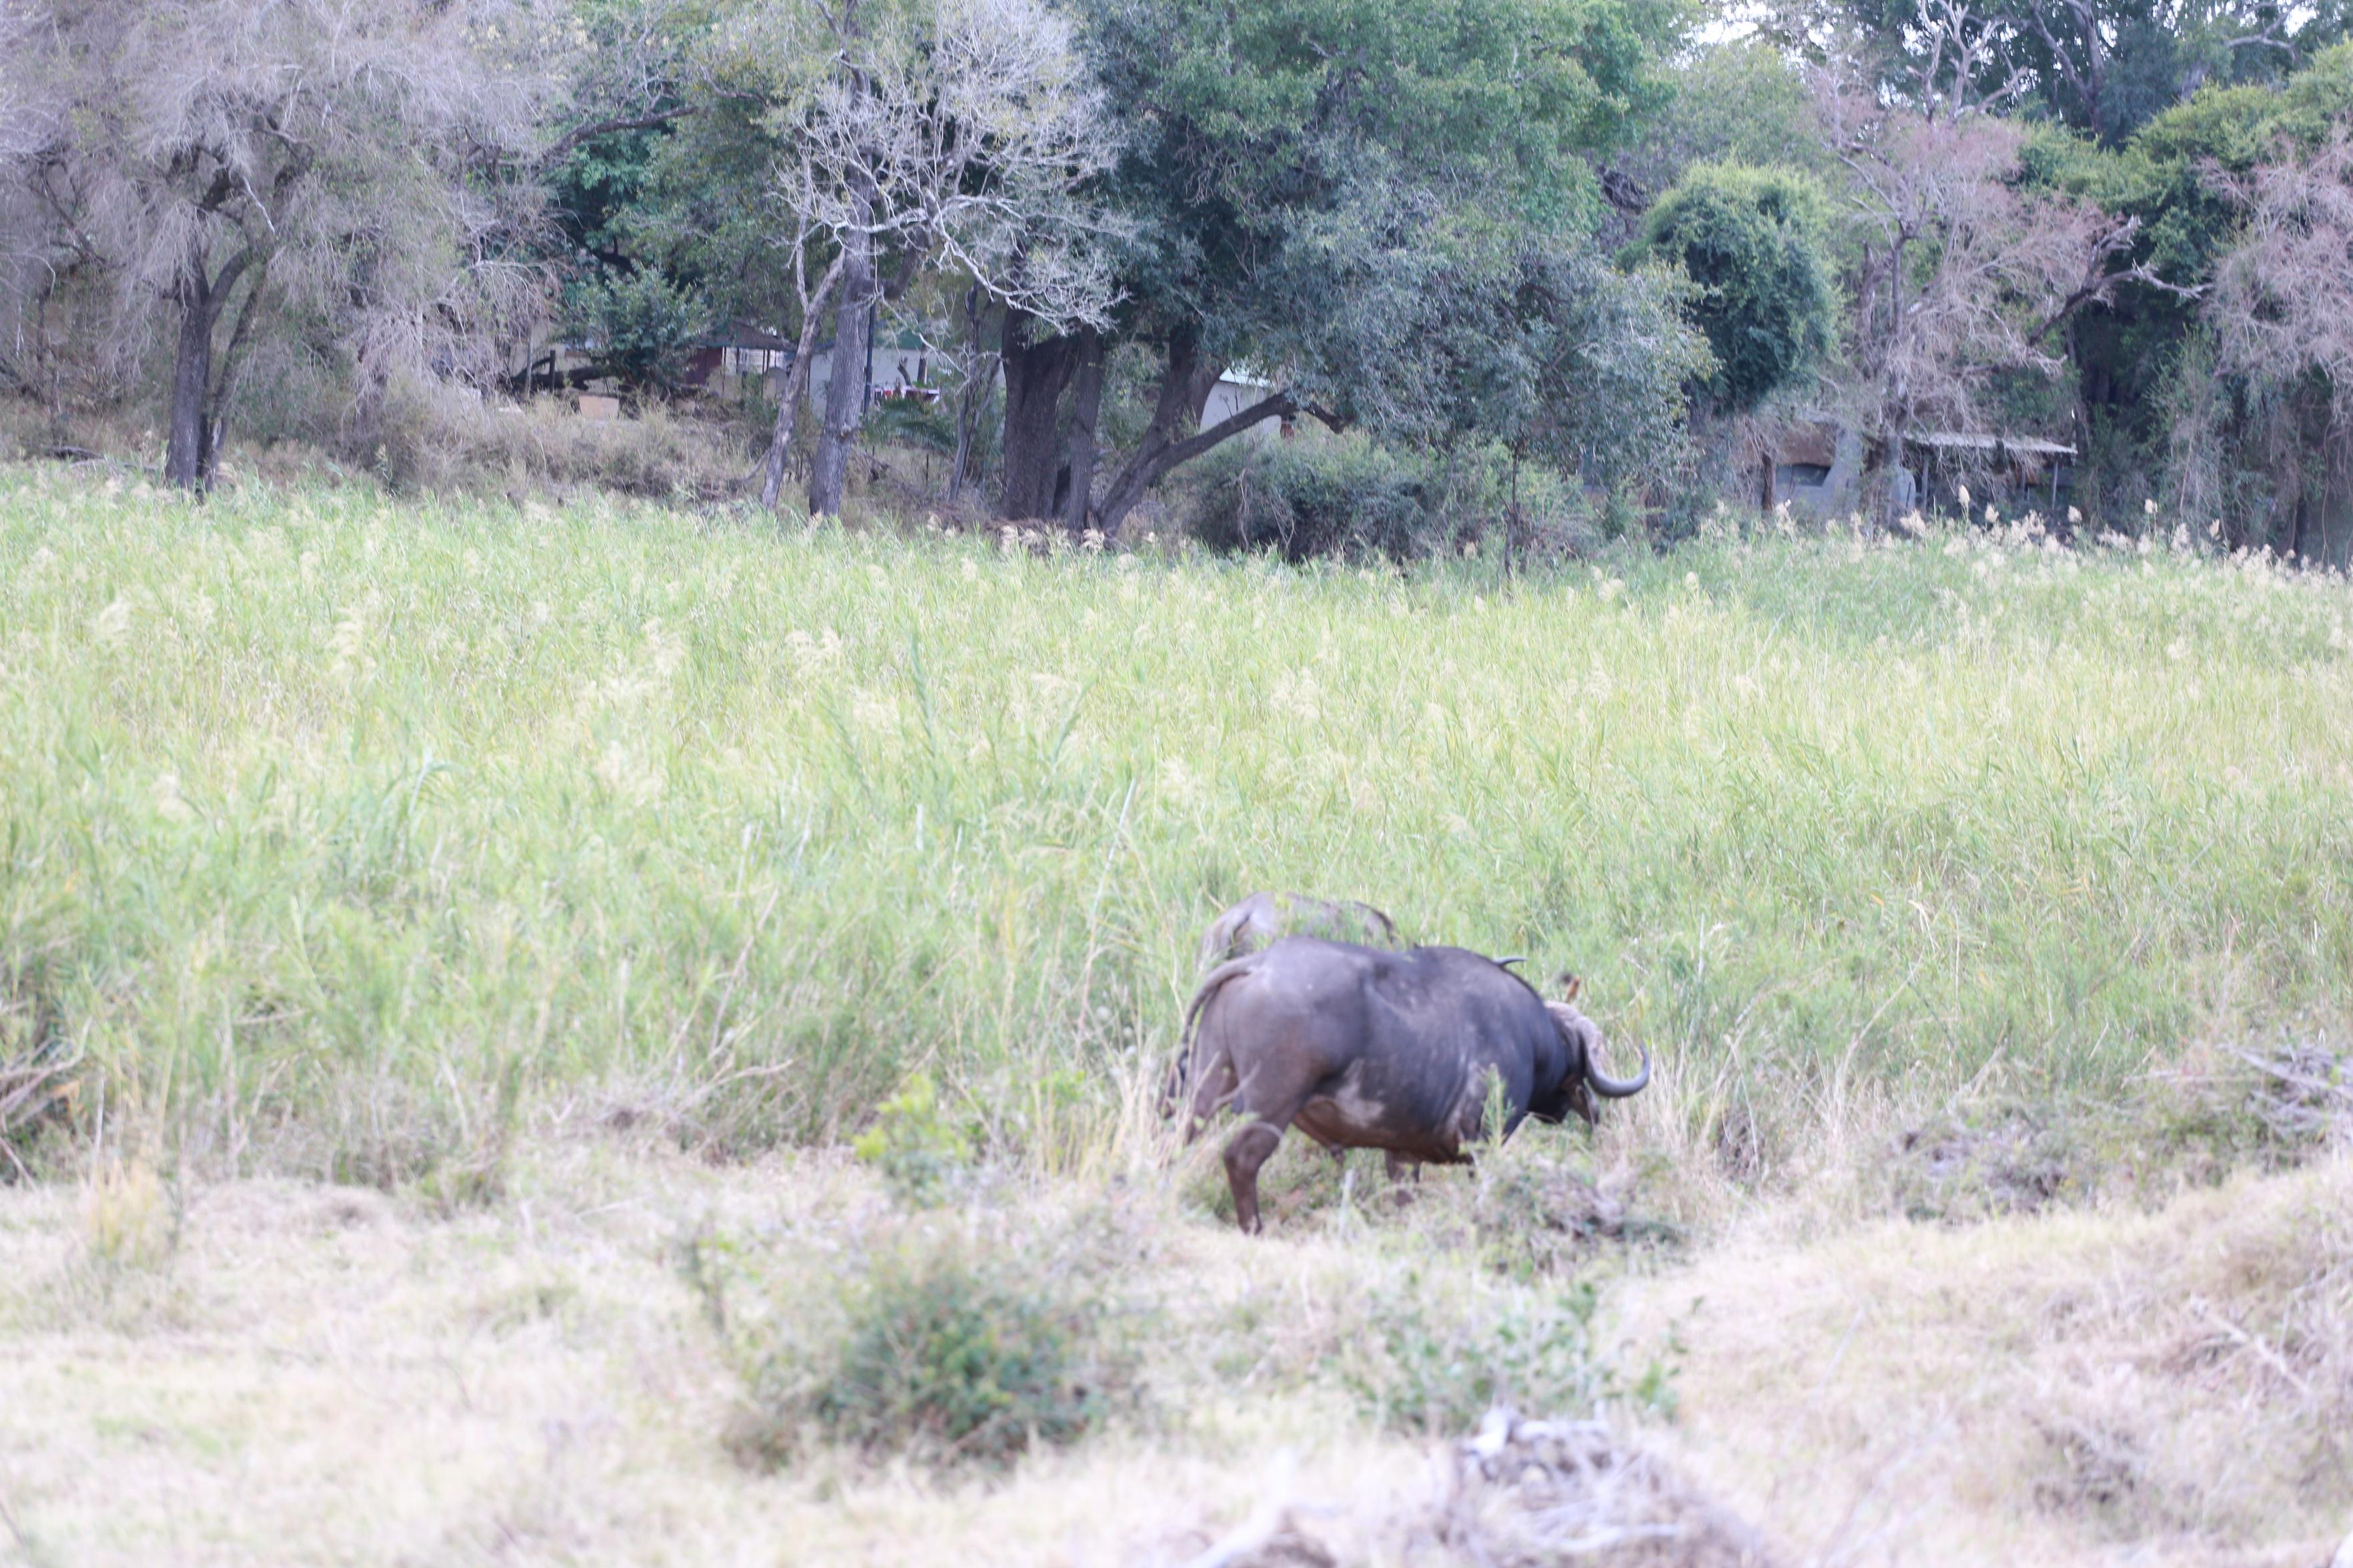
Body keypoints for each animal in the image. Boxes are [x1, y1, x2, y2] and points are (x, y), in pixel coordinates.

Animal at [1174, 937, 1651, 1233]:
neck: (1533, 1040)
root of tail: (1257, 964)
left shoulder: (1402, 1156)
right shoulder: (1484, 1141)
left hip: (1203, 1089)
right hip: (1272, 1103)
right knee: (1240, 1159)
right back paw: (1253, 1229)